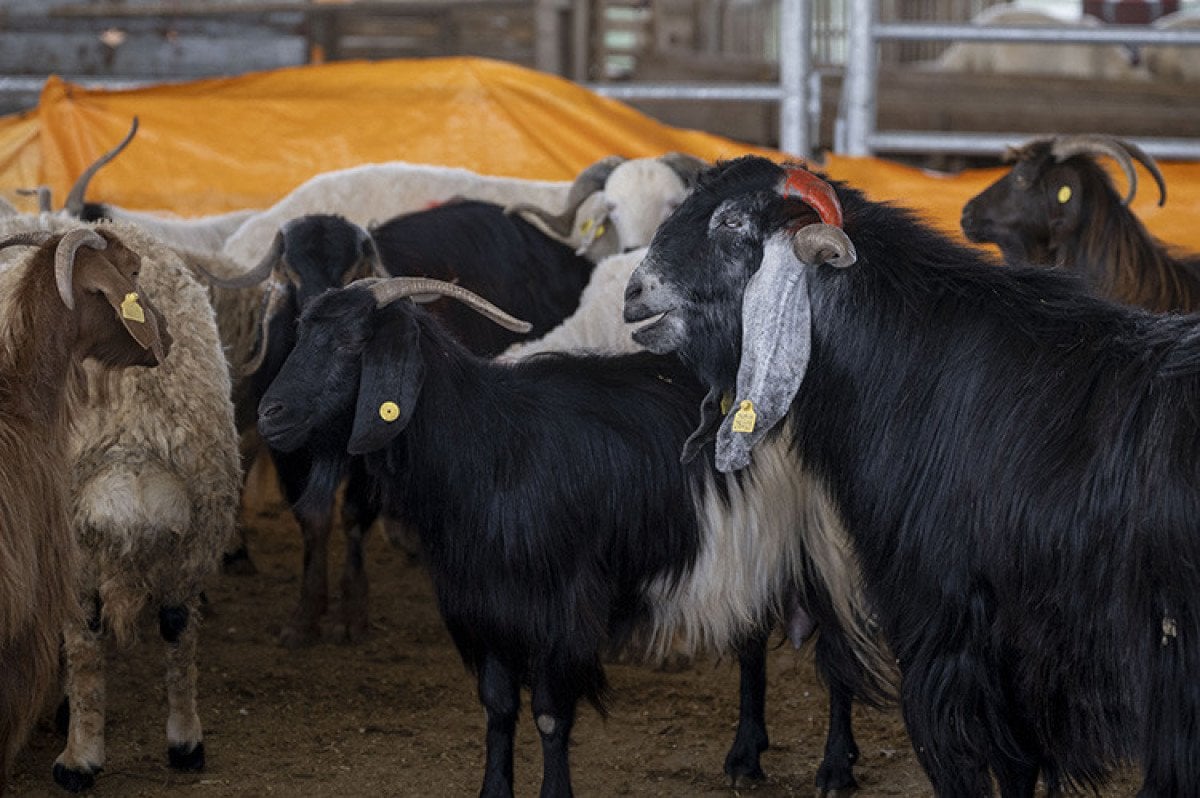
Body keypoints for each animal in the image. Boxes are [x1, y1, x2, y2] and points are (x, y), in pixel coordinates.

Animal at [255, 276, 883, 796]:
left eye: (351, 343)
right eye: (300, 334)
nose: (269, 416)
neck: (490, 448)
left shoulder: (562, 608)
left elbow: (551, 714)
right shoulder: (484, 605)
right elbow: (498, 708)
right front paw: (493, 792)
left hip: (827, 546)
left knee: (839, 654)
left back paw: (835, 769)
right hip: (756, 550)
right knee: (753, 642)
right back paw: (744, 759)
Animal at [624, 153, 1200, 792]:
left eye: (731, 222)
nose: (634, 293)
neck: (913, 367)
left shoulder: (945, 630)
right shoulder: (1019, 666)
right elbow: (1019, 766)